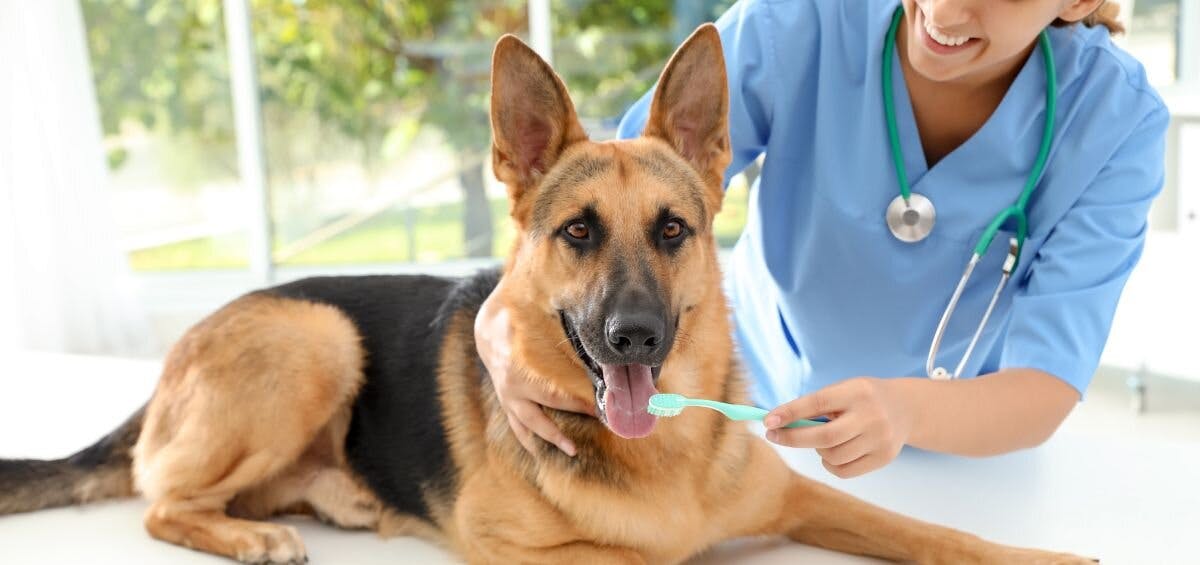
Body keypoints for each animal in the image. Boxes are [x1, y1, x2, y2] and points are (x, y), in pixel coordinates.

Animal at [0, 26, 1089, 565]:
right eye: (577, 233)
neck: (661, 457)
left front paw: (1042, 558)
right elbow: (653, 558)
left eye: (672, 230)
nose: (635, 338)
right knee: (160, 499)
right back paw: (247, 533)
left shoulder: (797, 493)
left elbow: (933, 532)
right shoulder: (520, 549)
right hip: (317, 339)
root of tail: (175, 360)